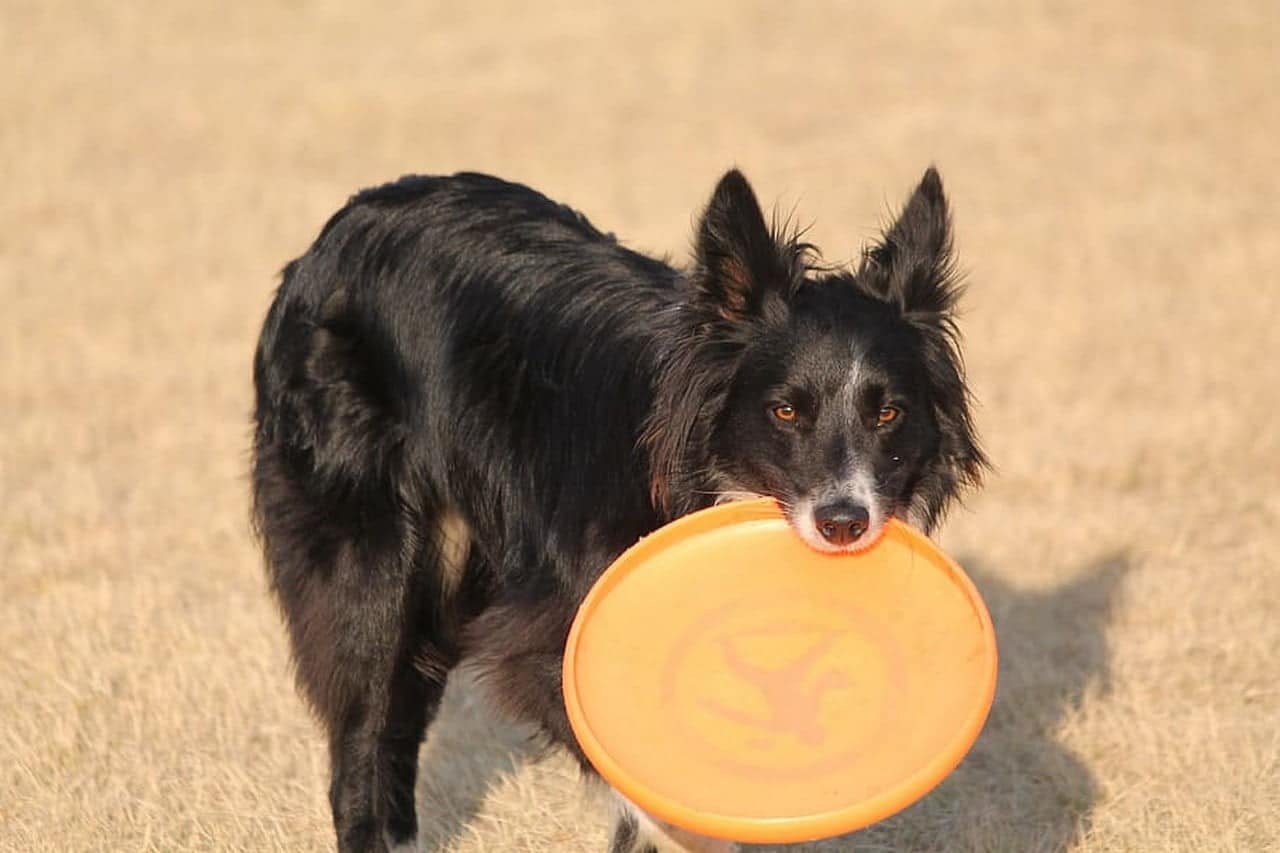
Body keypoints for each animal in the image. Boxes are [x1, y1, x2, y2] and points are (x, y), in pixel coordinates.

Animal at [252, 167, 988, 850]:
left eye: (888, 413)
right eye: (785, 411)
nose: (844, 524)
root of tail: (345, 222)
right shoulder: (551, 642)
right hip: (368, 560)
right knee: (364, 722)